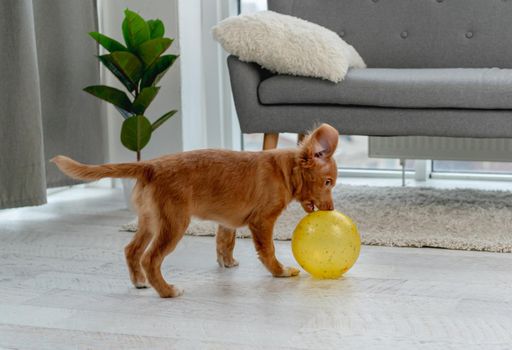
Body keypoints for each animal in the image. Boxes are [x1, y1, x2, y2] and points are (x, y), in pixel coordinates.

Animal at [52, 123, 340, 298]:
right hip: (174, 223)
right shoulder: (262, 221)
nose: (331, 209)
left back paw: (140, 281)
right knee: (150, 258)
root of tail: (150, 165)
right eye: (328, 183)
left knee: (132, 250)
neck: (284, 170)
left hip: (150, 220)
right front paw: (281, 271)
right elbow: (267, 251)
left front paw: (227, 262)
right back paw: (167, 291)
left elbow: (224, 241)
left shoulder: (227, 221)